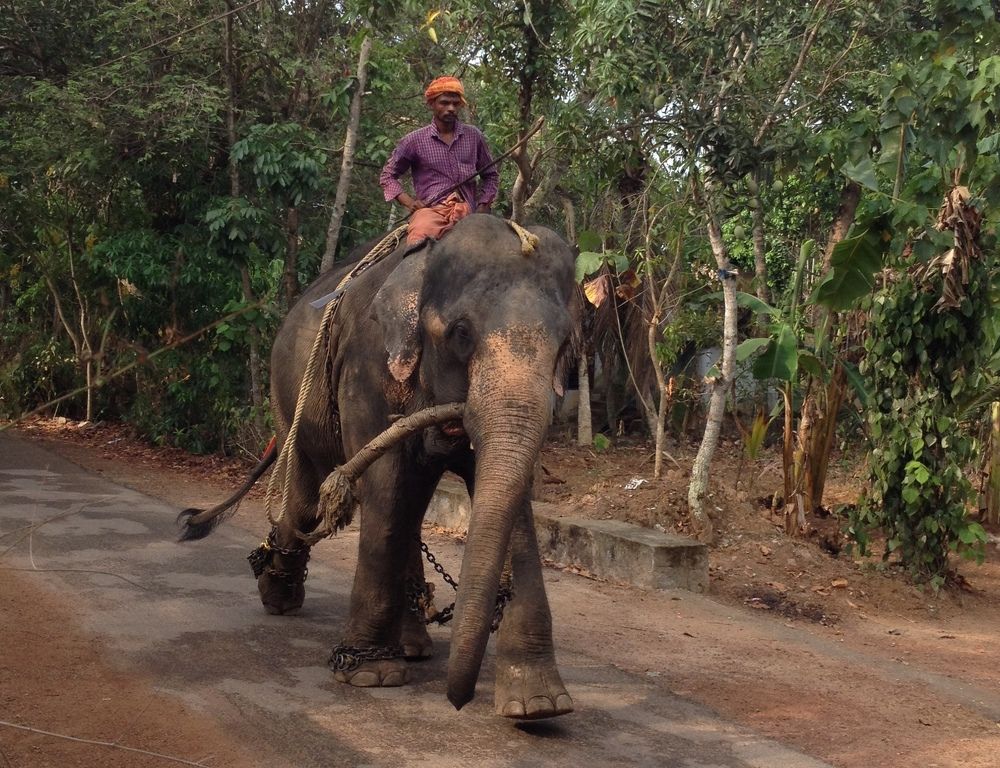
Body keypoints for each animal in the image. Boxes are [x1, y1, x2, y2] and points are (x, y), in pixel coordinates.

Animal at [179, 214, 579, 719]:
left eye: (565, 343)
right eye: (461, 333)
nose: (458, 702)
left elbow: (516, 508)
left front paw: (538, 706)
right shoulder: (367, 367)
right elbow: (385, 488)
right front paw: (371, 675)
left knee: (410, 503)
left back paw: (411, 646)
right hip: (286, 397)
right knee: (309, 497)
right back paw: (280, 599)